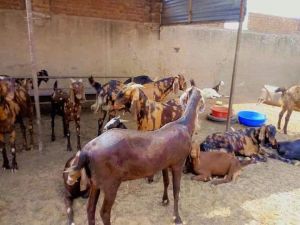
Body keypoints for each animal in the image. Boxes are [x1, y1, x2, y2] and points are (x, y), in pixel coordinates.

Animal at [65, 86, 205, 225]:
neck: (184, 124)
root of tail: (86, 151)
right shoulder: (178, 162)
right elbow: (177, 191)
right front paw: (177, 218)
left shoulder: (166, 163)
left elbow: (166, 182)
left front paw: (165, 200)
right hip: (110, 183)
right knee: (104, 212)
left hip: (94, 182)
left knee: (90, 209)